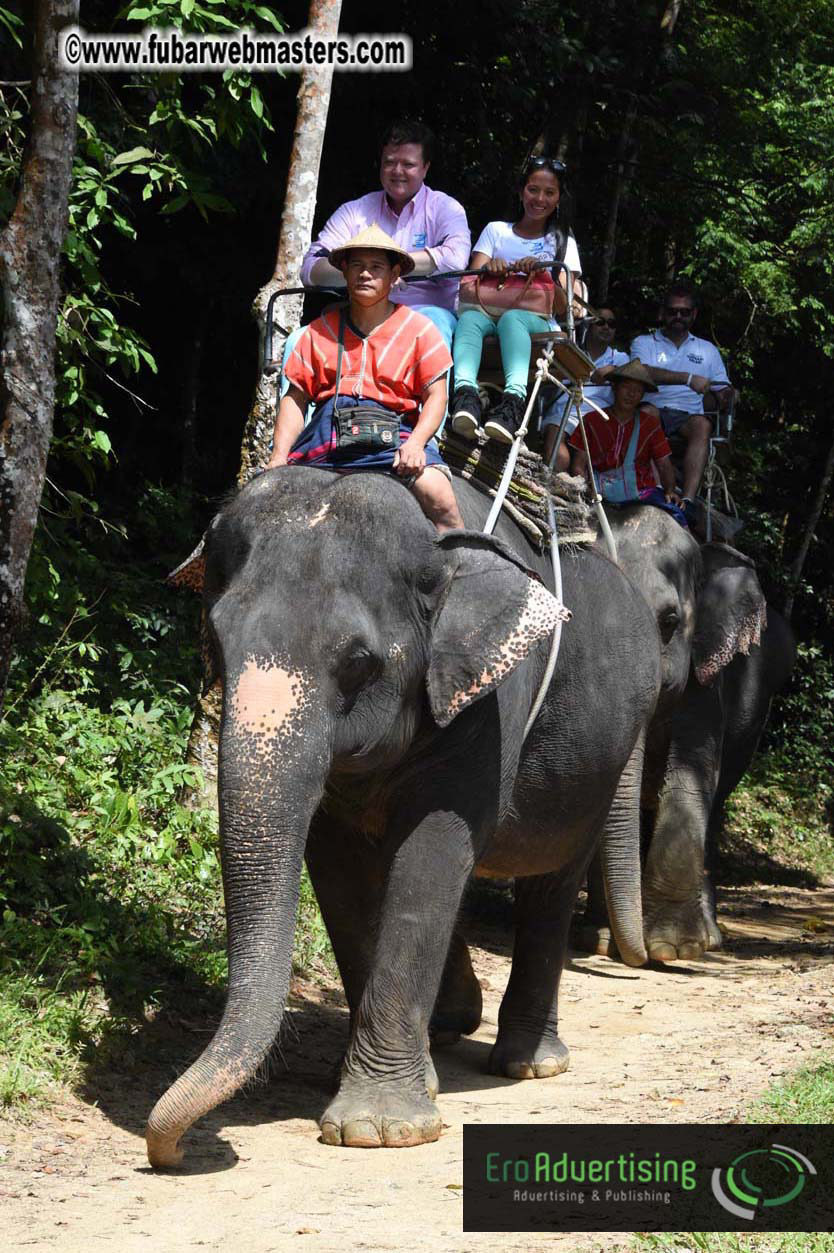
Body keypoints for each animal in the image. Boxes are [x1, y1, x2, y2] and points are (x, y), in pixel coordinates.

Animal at [146, 467, 661, 1167]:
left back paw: (530, 1064)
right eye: (218, 648)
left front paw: (378, 1129)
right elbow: (340, 870)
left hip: (600, 768)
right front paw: (389, 1088)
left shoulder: (487, 702)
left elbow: (430, 854)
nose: (172, 1153)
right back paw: (450, 1029)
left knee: (550, 884)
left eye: (359, 663)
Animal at [580, 504, 796, 962]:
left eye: (669, 622)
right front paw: (605, 942)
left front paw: (671, 948)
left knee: (715, 806)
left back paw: (708, 938)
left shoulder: (706, 685)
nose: (636, 957)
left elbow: (688, 779)